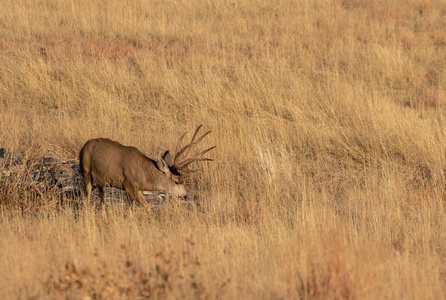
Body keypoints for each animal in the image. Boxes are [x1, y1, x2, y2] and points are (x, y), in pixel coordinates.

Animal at [78, 125, 214, 216]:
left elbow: (131, 209)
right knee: (87, 196)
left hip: (100, 181)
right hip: (85, 170)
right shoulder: (130, 186)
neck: (144, 174)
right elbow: (148, 208)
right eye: (176, 181)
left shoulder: (129, 189)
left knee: (101, 197)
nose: (185, 195)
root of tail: (83, 146)